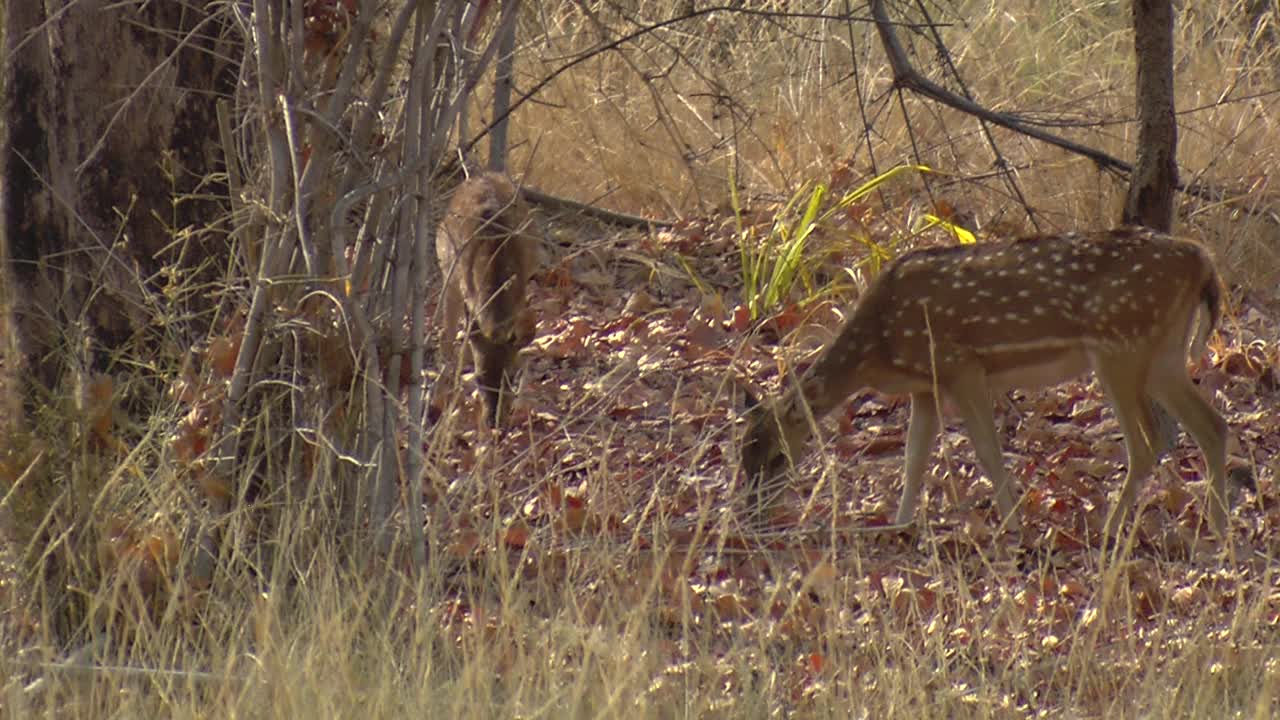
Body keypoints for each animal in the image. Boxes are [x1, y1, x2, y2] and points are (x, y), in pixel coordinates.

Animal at [742, 226, 1228, 535]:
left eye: (777, 457)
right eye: (741, 454)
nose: (753, 515)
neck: (879, 347)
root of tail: (1203, 259)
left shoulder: (961, 365)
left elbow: (988, 453)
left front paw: (1011, 526)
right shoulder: (927, 386)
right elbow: (913, 459)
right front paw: (900, 524)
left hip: (1120, 344)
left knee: (1146, 442)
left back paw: (1111, 528)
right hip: (1163, 353)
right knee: (1211, 425)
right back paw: (1219, 527)